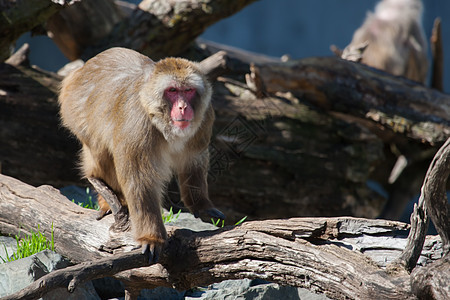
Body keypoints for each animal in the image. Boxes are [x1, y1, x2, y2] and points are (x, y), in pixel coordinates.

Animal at [59, 47, 224, 262]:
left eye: (188, 91)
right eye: (172, 91)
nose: (183, 107)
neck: (159, 119)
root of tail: (80, 70)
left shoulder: (204, 118)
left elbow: (193, 160)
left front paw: (201, 205)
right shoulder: (138, 124)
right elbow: (139, 179)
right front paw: (151, 237)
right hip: (76, 113)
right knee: (100, 153)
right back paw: (104, 191)